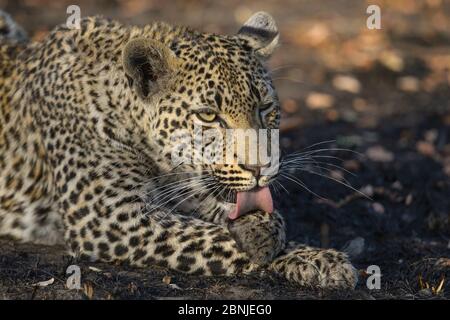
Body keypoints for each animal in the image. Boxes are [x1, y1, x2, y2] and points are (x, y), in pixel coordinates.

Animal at [0, 10, 358, 288]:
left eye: (265, 107)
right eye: (208, 116)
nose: (261, 169)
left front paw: (309, 253)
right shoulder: (109, 216)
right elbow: (210, 237)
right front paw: (292, 253)